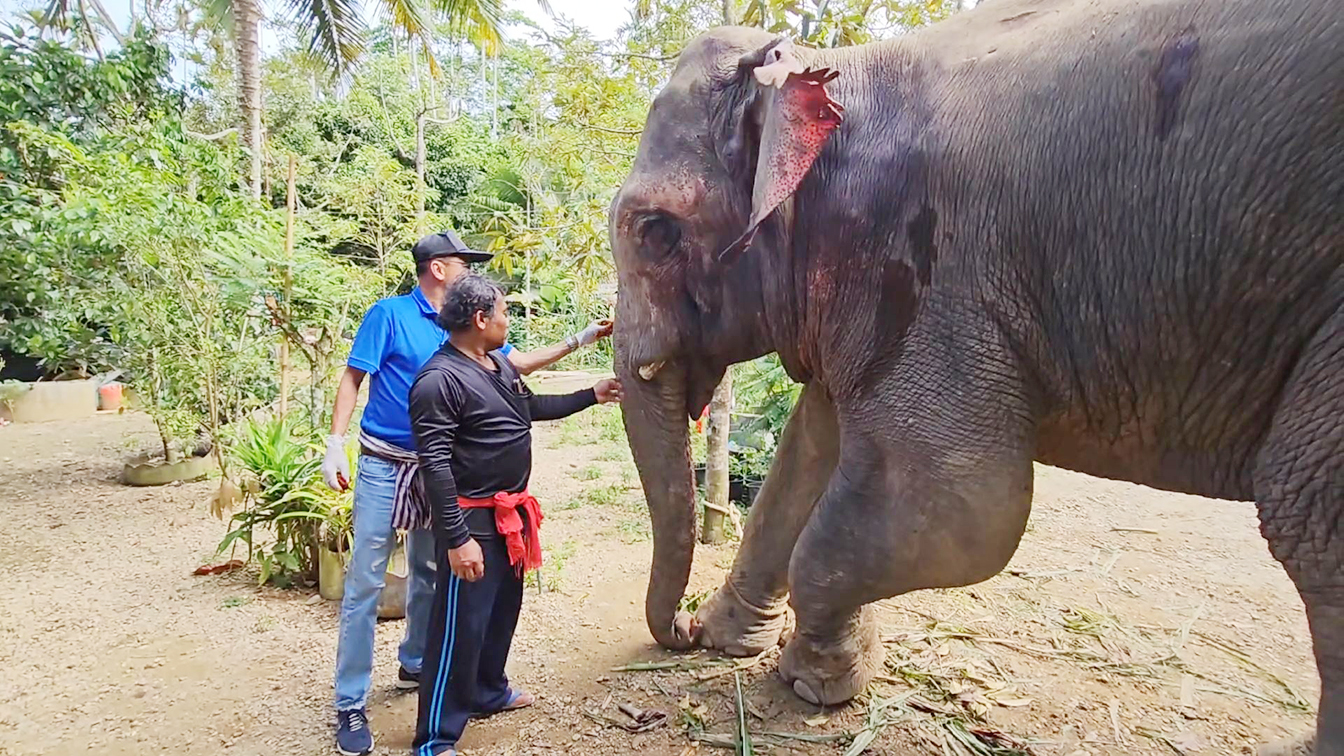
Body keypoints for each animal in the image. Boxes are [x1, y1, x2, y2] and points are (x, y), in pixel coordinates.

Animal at [612, 0, 1344, 747]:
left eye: (655, 232)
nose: (680, 629)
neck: (824, 69)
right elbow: (810, 446)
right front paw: (736, 640)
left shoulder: (926, 270)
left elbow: (965, 504)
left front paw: (813, 682)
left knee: (1309, 522)